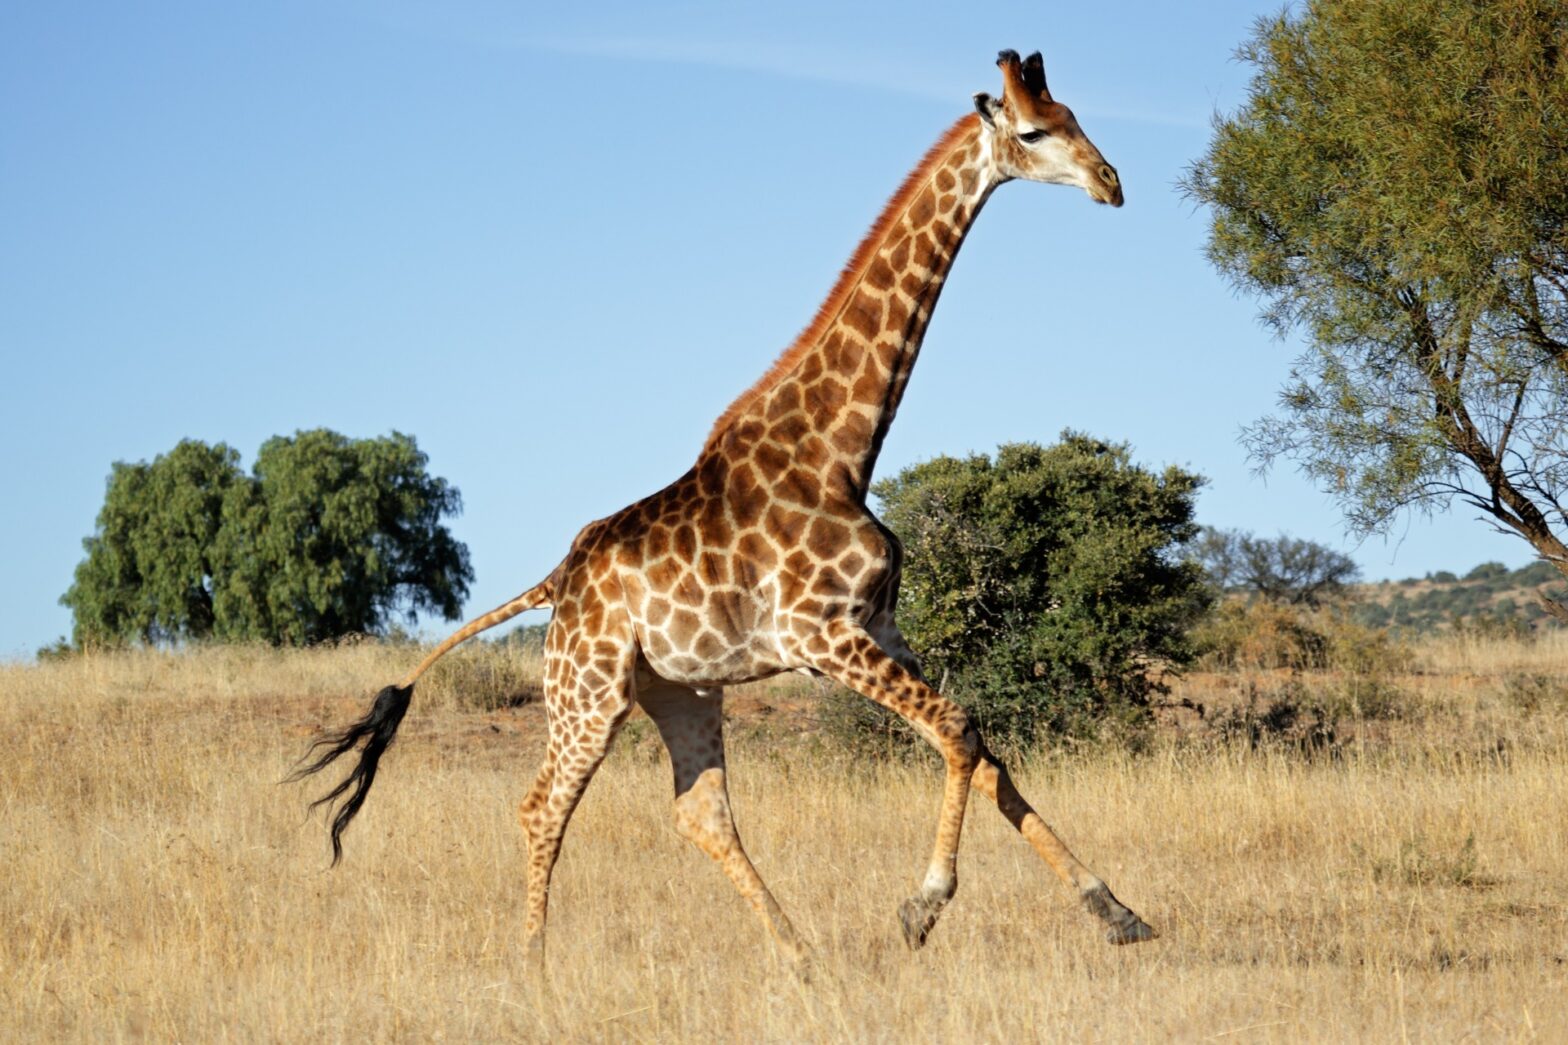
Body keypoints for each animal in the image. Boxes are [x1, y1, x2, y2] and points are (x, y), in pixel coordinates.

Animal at [293, 49, 1155, 963]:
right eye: (1033, 131)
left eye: (1072, 115)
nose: (1110, 182)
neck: (842, 450)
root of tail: (557, 579)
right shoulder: (823, 635)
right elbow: (959, 730)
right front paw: (921, 908)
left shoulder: (879, 627)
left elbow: (985, 752)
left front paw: (1117, 910)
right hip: (587, 691)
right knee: (541, 806)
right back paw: (536, 967)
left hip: (681, 690)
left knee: (700, 812)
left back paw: (800, 955)